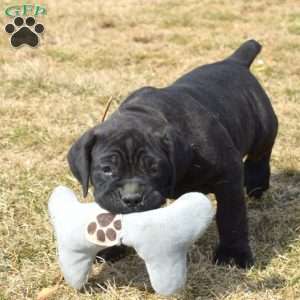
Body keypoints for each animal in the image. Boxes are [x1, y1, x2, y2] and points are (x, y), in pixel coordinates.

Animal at [68, 39, 278, 268]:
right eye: (107, 170)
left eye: (153, 169)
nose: (131, 198)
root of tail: (235, 61)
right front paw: (111, 247)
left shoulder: (228, 175)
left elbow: (231, 216)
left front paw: (233, 254)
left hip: (263, 125)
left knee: (261, 153)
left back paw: (257, 182)